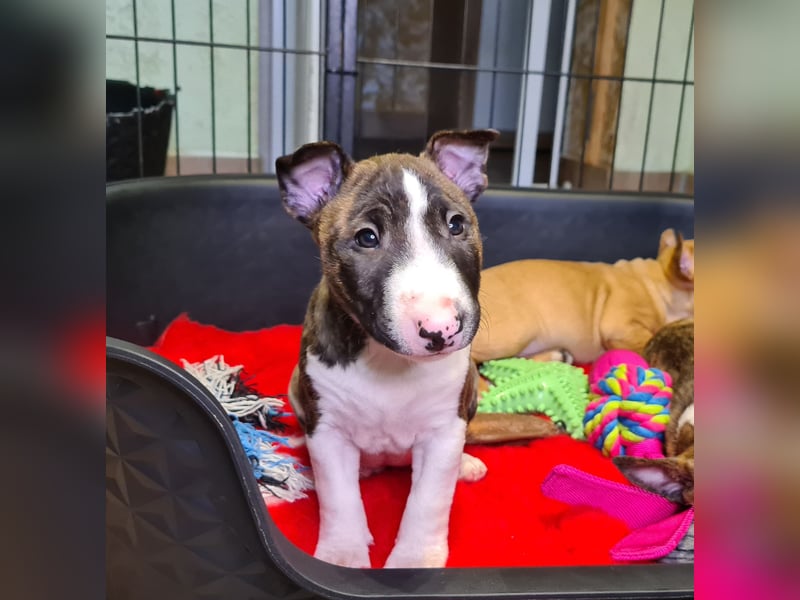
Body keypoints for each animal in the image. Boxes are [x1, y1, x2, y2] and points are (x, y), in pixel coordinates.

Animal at [278, 127, 496, 568]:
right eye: (367, 237)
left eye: (456, 224)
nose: (441, 329)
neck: (389, 361)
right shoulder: (329, 429)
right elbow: (339, 498)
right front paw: (343, 556)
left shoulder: (442, 430)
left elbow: (428, 501)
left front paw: (415, 560)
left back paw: (465, 465)